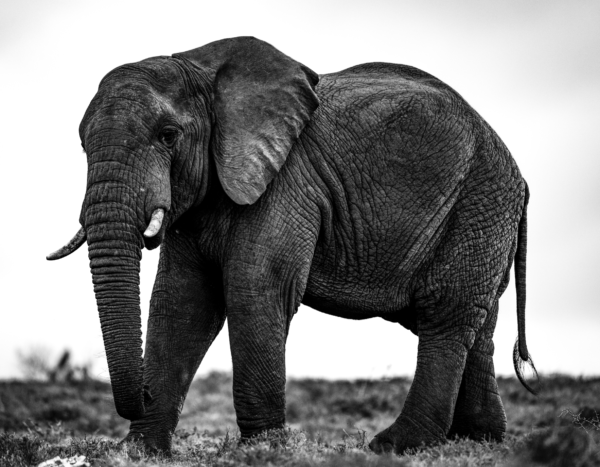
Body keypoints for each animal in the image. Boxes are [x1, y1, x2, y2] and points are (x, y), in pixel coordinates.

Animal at [47, 37, 536, 458]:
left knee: (444, 317)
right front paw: (139, 452)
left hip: (478, 201)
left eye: (168, 135)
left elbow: (255, 289)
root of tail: (517, 173)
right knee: (478, 325)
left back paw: (394, 445)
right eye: (82, 143)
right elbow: (182, 302)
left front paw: (264, 451)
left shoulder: (287, 183)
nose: (142, 394)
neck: (204, 72)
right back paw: (478, 440)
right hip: (482, 216)